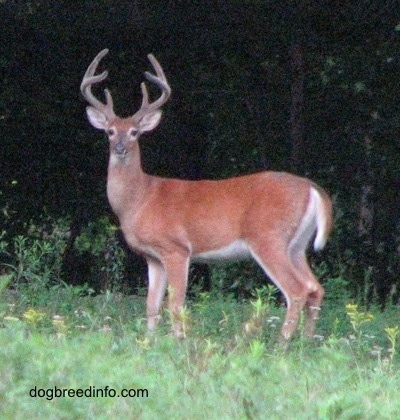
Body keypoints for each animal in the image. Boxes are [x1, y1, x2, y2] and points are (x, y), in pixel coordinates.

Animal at [79, 49, 332, 342]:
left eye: (134, 132)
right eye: (110, 131)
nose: (120, 148)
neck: (140, 199)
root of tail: (313, 188)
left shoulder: (176, 248)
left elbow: (175, 303)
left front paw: (178, 340)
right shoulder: (153, 257)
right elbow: (151, 304)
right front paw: (149, 342)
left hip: (269, 237)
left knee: (297, 290)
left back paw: (283, 343)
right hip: (297, 245)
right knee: (316, 287)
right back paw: (307, 341)